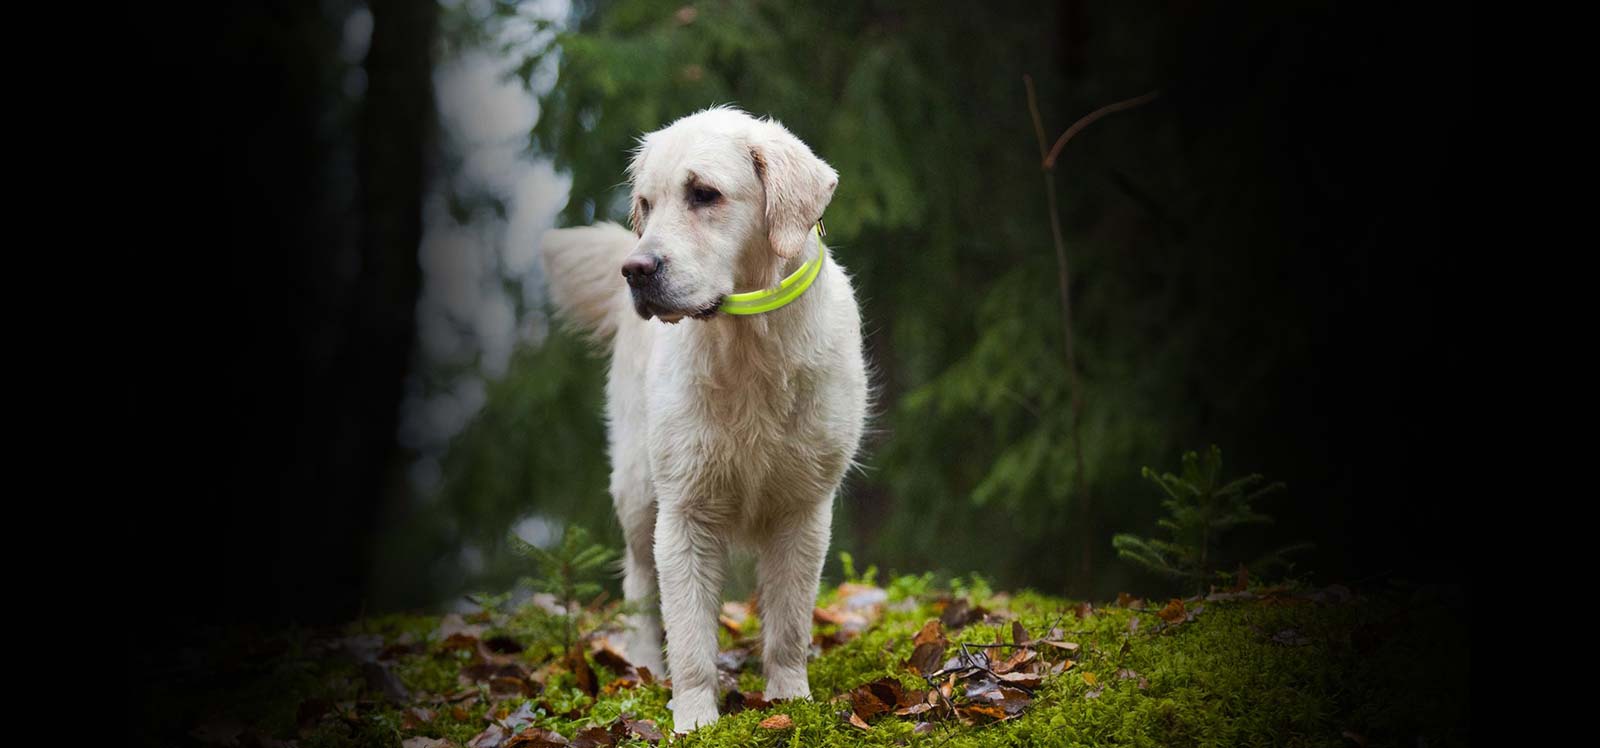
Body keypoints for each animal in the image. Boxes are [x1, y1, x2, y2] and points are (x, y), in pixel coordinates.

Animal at [534, 105, 864, 732]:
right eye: (646, 202)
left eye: (704, 194)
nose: (635, 270)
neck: (750, 345)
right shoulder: (683, 510)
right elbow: (689, 636)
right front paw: (693, 719)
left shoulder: (804, 507)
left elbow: (789, 624)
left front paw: (789, 699)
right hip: (638, 489)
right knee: (639, 584)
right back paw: (641, 667)